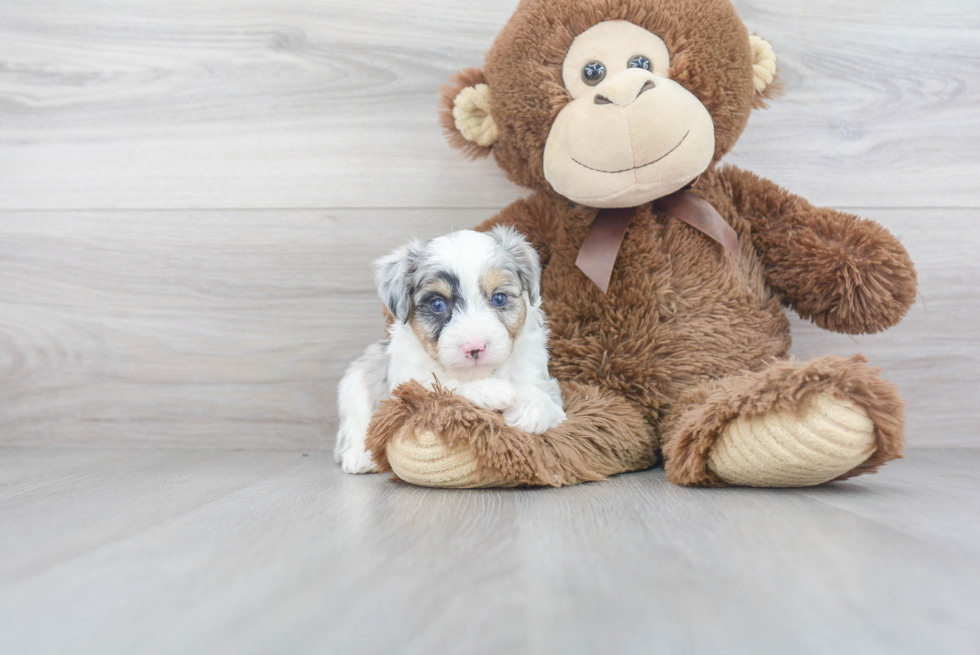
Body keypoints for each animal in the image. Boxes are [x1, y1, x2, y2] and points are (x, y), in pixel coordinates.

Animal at [334, 226, 568, 472]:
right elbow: (445, 385)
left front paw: (532, 408)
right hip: (355, 384)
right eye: (437, 304)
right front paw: (491, 389)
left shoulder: (536, 372)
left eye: (499, 298)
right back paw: (360, 456)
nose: (474, 348)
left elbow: (543, 392)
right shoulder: (409, 384)